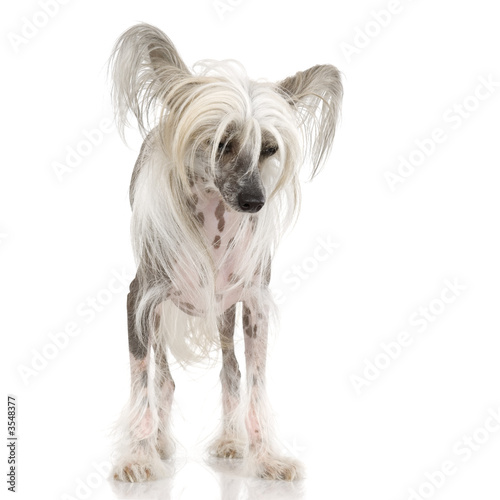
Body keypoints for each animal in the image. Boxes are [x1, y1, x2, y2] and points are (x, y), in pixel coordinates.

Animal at [108, 22, 344, 480]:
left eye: (270, 148)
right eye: (222, 144)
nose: (255, 201)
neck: (215, 226)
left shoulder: (253, 305)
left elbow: (254, 383)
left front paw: (265, 456)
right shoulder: (139, 300)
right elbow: (142, 384)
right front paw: (139, 458)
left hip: (223, 313)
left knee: (231, 370)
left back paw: (232, 442)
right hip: (159, 317)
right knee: (163, 380)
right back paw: (159, 443)